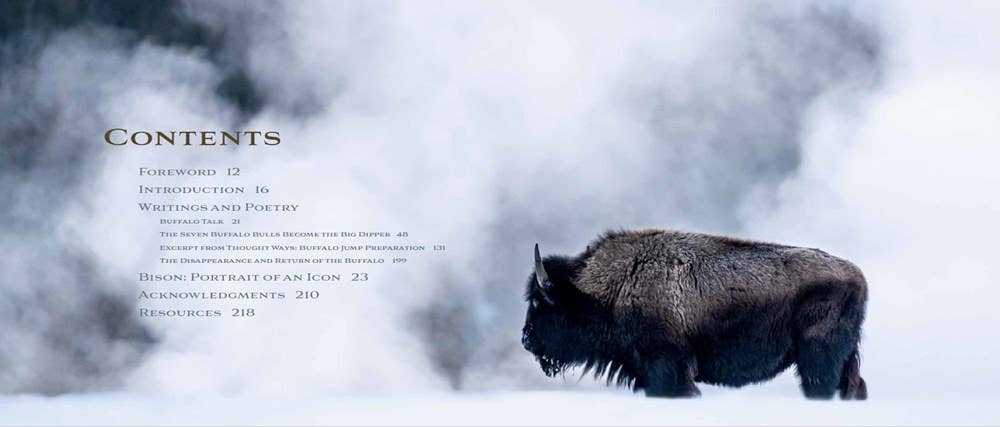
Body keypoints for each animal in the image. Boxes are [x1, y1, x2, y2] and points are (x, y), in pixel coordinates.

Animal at [521, 229, 868, 399]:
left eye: (538, 303)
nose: (526, 340)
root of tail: (858, 277)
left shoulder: (668, 368)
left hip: (818, 362)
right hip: (844, 361)